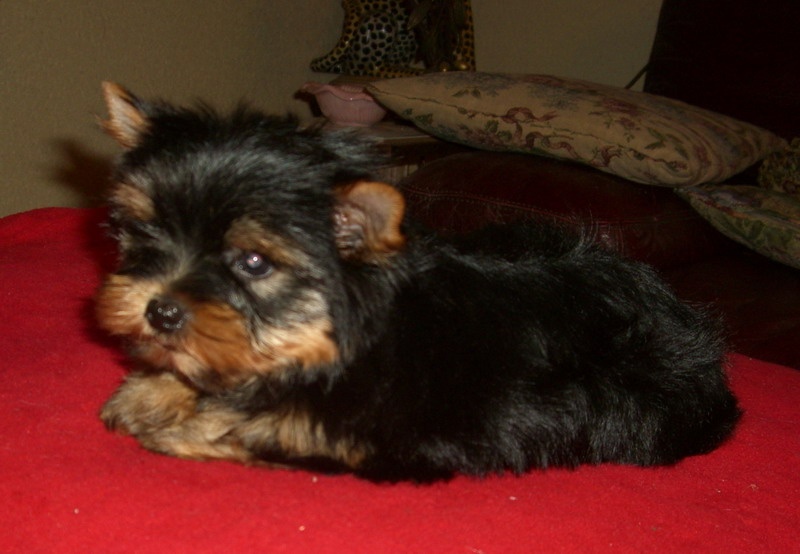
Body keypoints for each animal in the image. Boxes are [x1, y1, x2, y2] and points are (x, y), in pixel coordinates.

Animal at [96, 82, 741, 482]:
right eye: (142, 231)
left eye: (253, 263)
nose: (161, 311)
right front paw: (157, 389)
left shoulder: (395, 427)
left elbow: (276, 423)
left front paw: (181, 417)